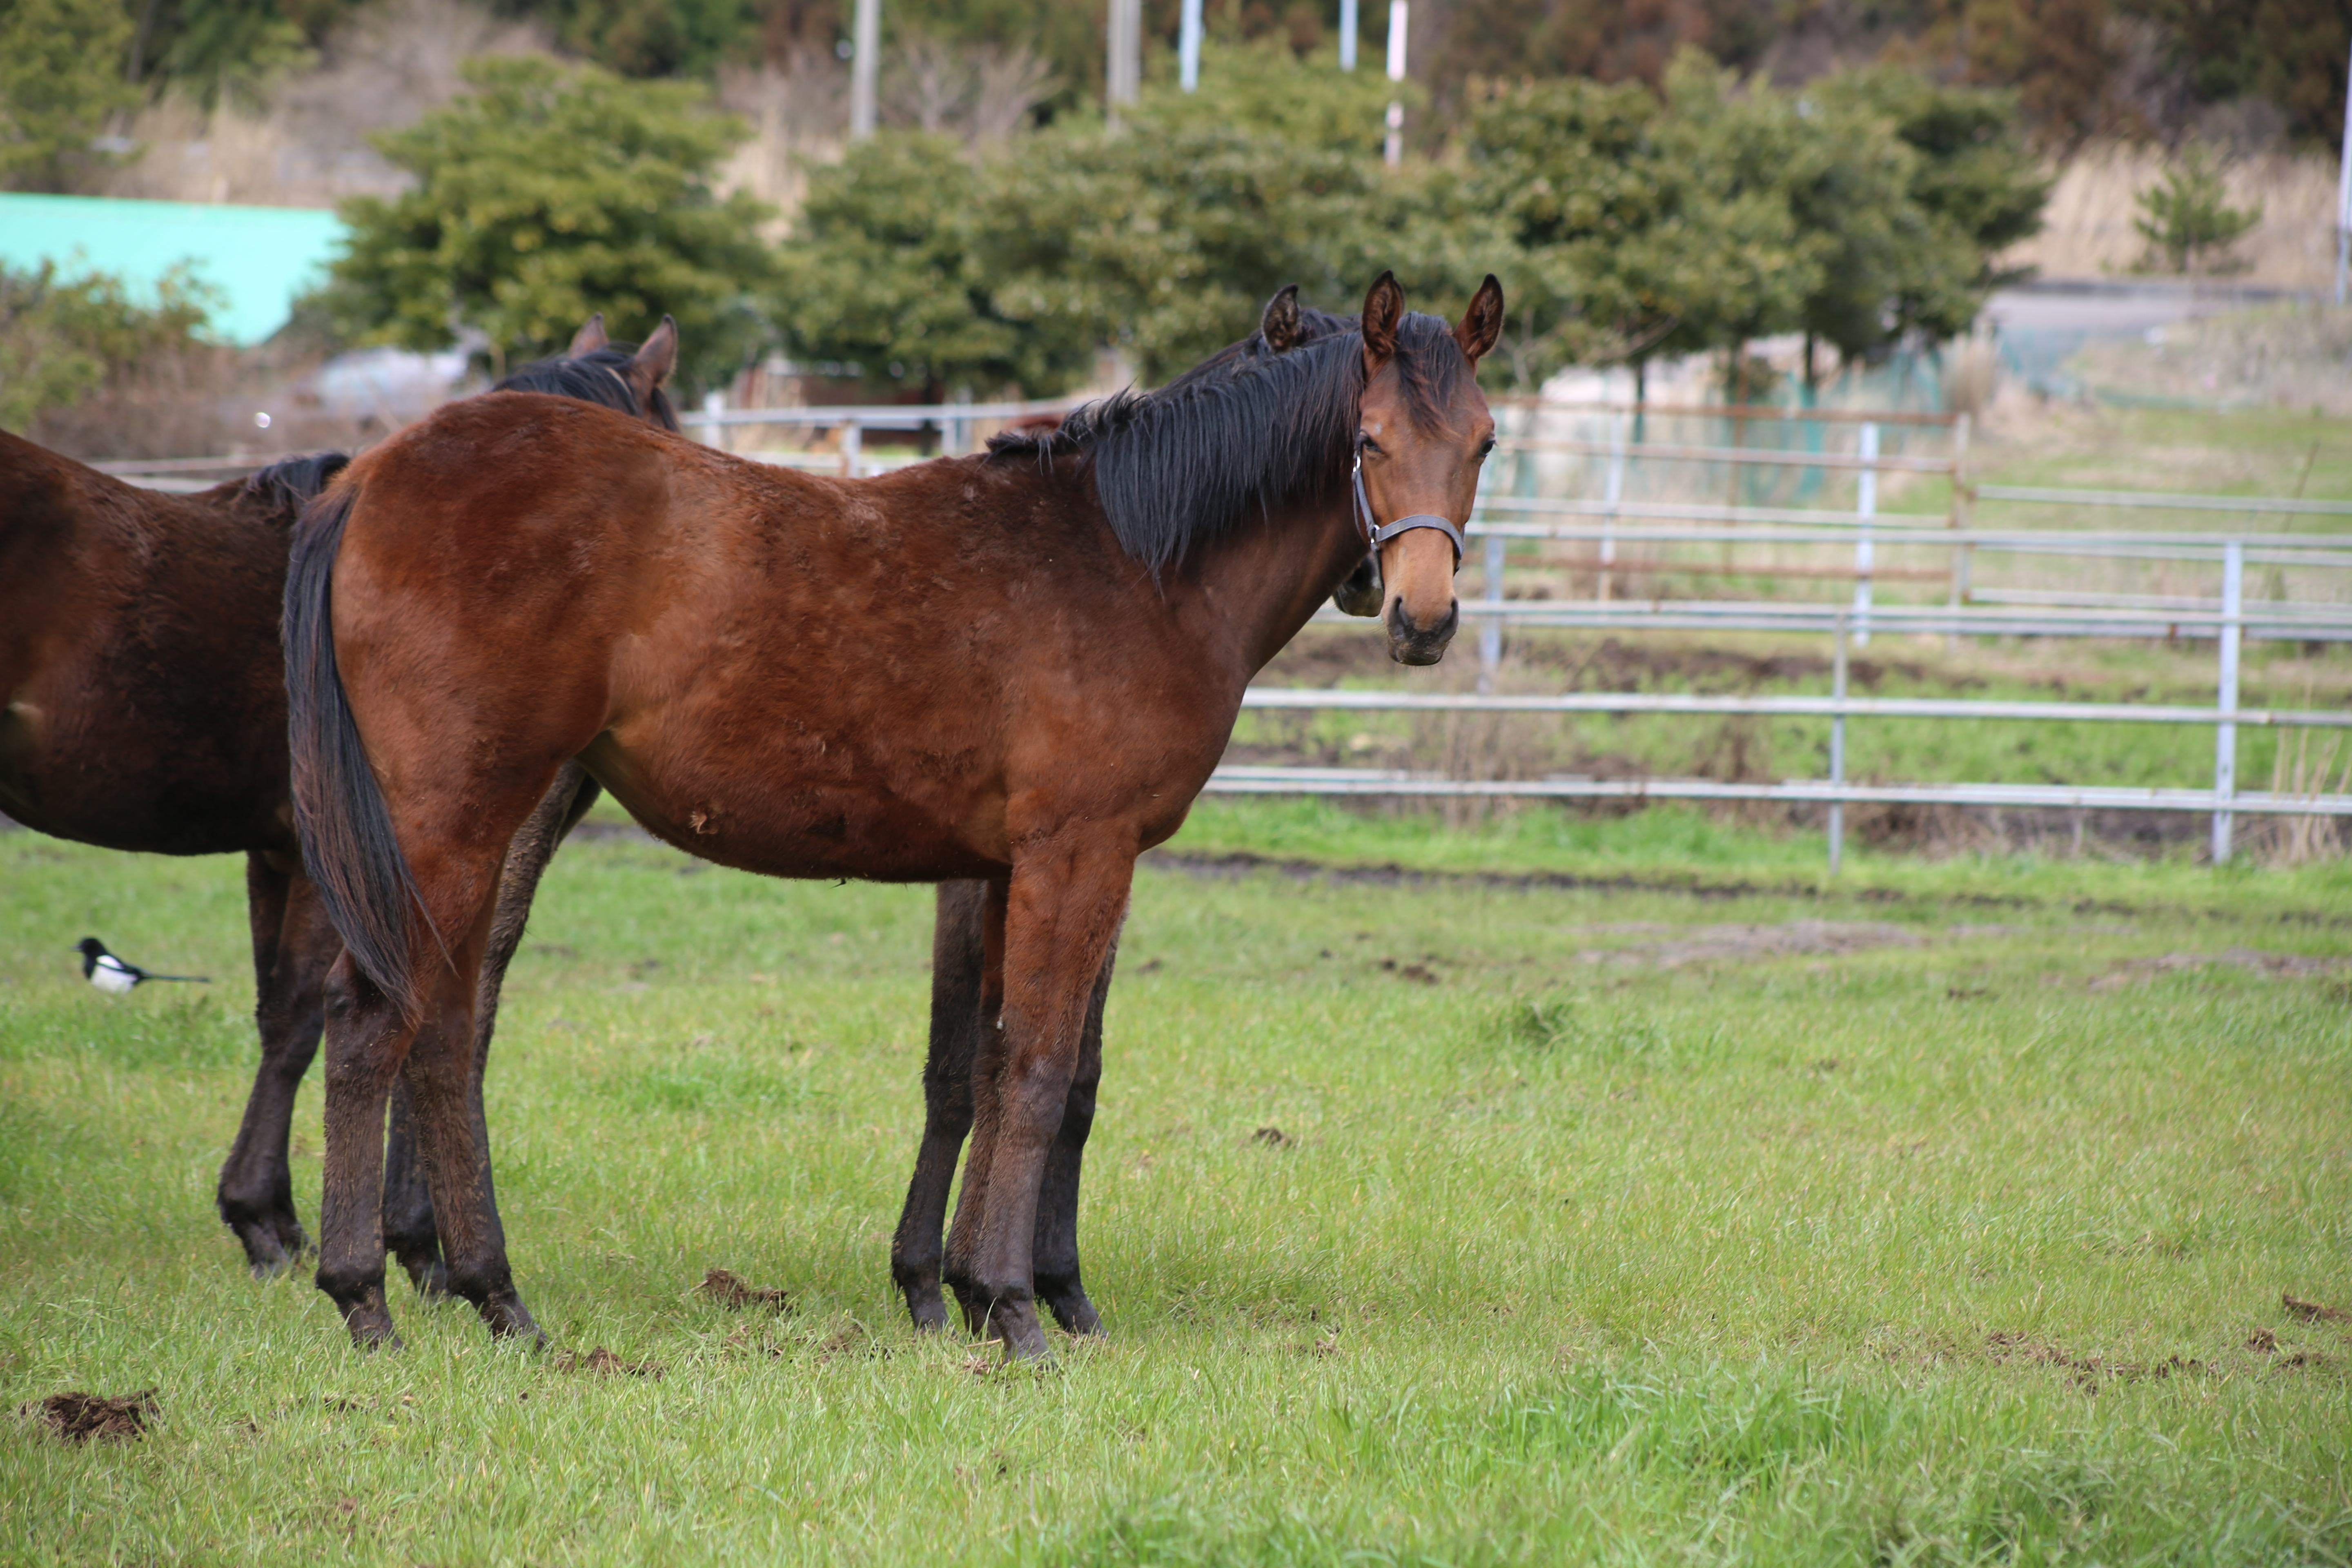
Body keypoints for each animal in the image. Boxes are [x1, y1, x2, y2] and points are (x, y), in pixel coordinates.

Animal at [289, 263, 1505, 1354]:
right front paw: (1016, 1309)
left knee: (444, 1026)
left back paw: (494, 1298)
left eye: (1485, 443)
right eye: (1367, 441)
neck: (1135, 558)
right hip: (449, 825)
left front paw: (975, 1289)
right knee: (381, 1019)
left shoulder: (1014, 866)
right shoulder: (1080, 853)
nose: (1421, 617)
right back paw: (369, 1297)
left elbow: (994, 1069)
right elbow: (1040, 1069)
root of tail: (371, 476)